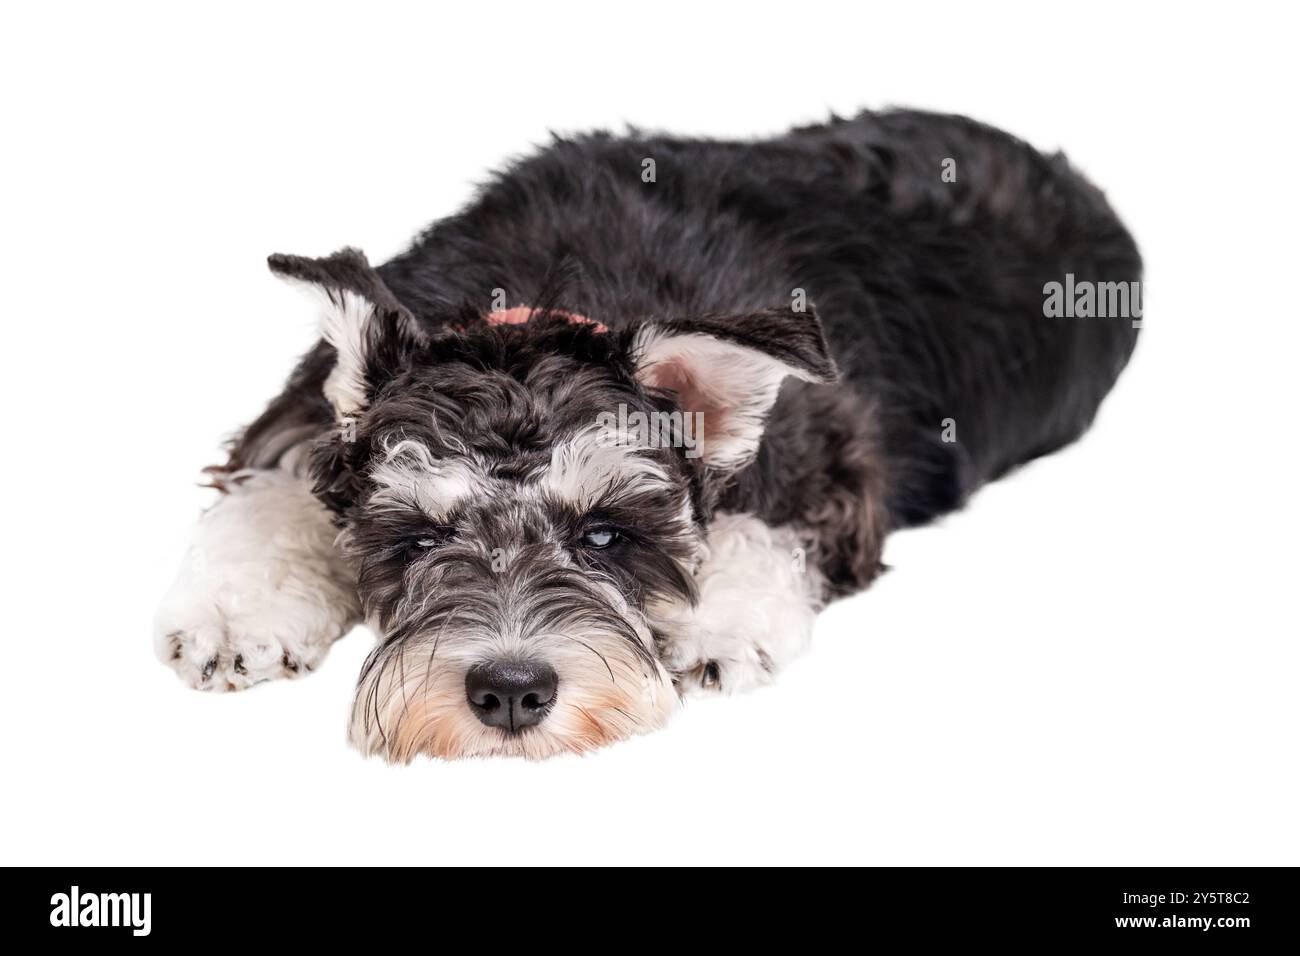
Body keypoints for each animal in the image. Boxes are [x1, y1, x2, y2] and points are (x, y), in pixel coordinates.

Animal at [157, 108, 1144, 759]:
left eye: (606, 536)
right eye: (418, 540)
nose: (509, 693)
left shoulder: (834, 452)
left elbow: (761, 524)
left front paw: (720, 622)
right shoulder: (301, 423)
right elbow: (274, 496)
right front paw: (236, 612)